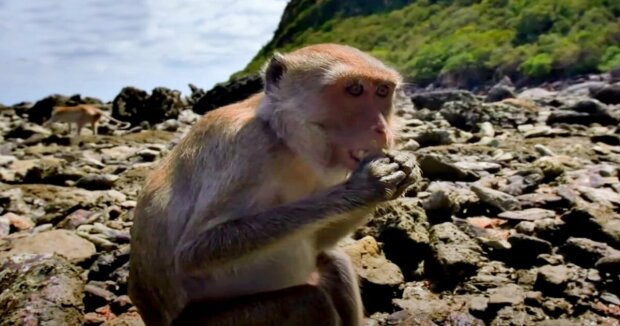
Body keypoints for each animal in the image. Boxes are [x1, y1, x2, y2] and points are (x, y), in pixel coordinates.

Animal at [126, 44, 422, 326]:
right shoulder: (245, 148)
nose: (382, 129)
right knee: (311, 303)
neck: (284, 138)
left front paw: (404, 166)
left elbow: (318, 241)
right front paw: (368, 185)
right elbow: (193, 254)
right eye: (355, 89)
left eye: (383, 91)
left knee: (334, 266)